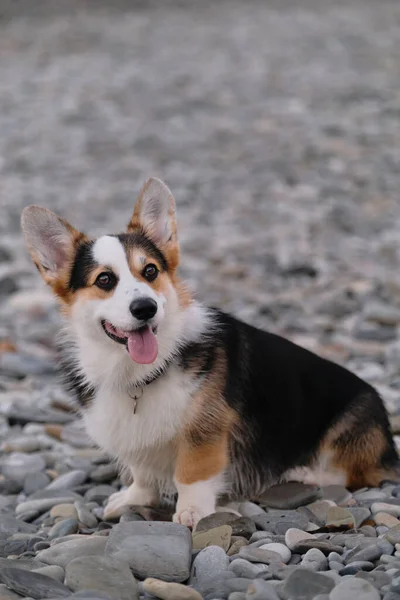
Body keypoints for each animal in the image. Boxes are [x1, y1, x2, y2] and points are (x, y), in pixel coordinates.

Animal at [21, 176, 396, 528]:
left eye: (150, 271)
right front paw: (133, 498)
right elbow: (141, 472)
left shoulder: (205, 430)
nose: (145, 308)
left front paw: (192, 513)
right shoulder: (134, 438)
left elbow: (192, 473)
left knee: (355, 474)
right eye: (104, 280)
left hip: (350, 425)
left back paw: (304, 473)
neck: (141, 373)